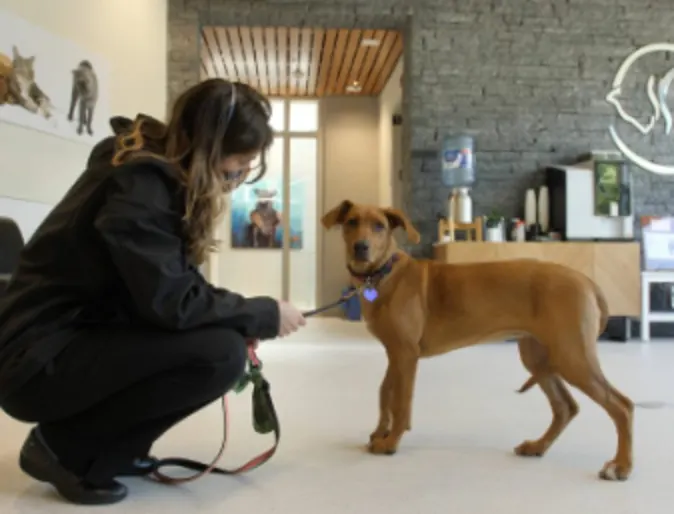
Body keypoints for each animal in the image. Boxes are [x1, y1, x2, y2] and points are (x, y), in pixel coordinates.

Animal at [322, 200, 632, 480]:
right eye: (351, 222)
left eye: (379, 226)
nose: (360, 247)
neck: (383, 274)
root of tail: (587, 281)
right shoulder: (394, 353)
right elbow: (385, 392)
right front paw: (379, 433)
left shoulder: (407, 354)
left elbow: (401, 402)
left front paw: (391, 441)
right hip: (539, 356)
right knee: (565, 407)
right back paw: (537, 446)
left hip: (572, 355)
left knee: (622, 405)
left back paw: (620, 466)